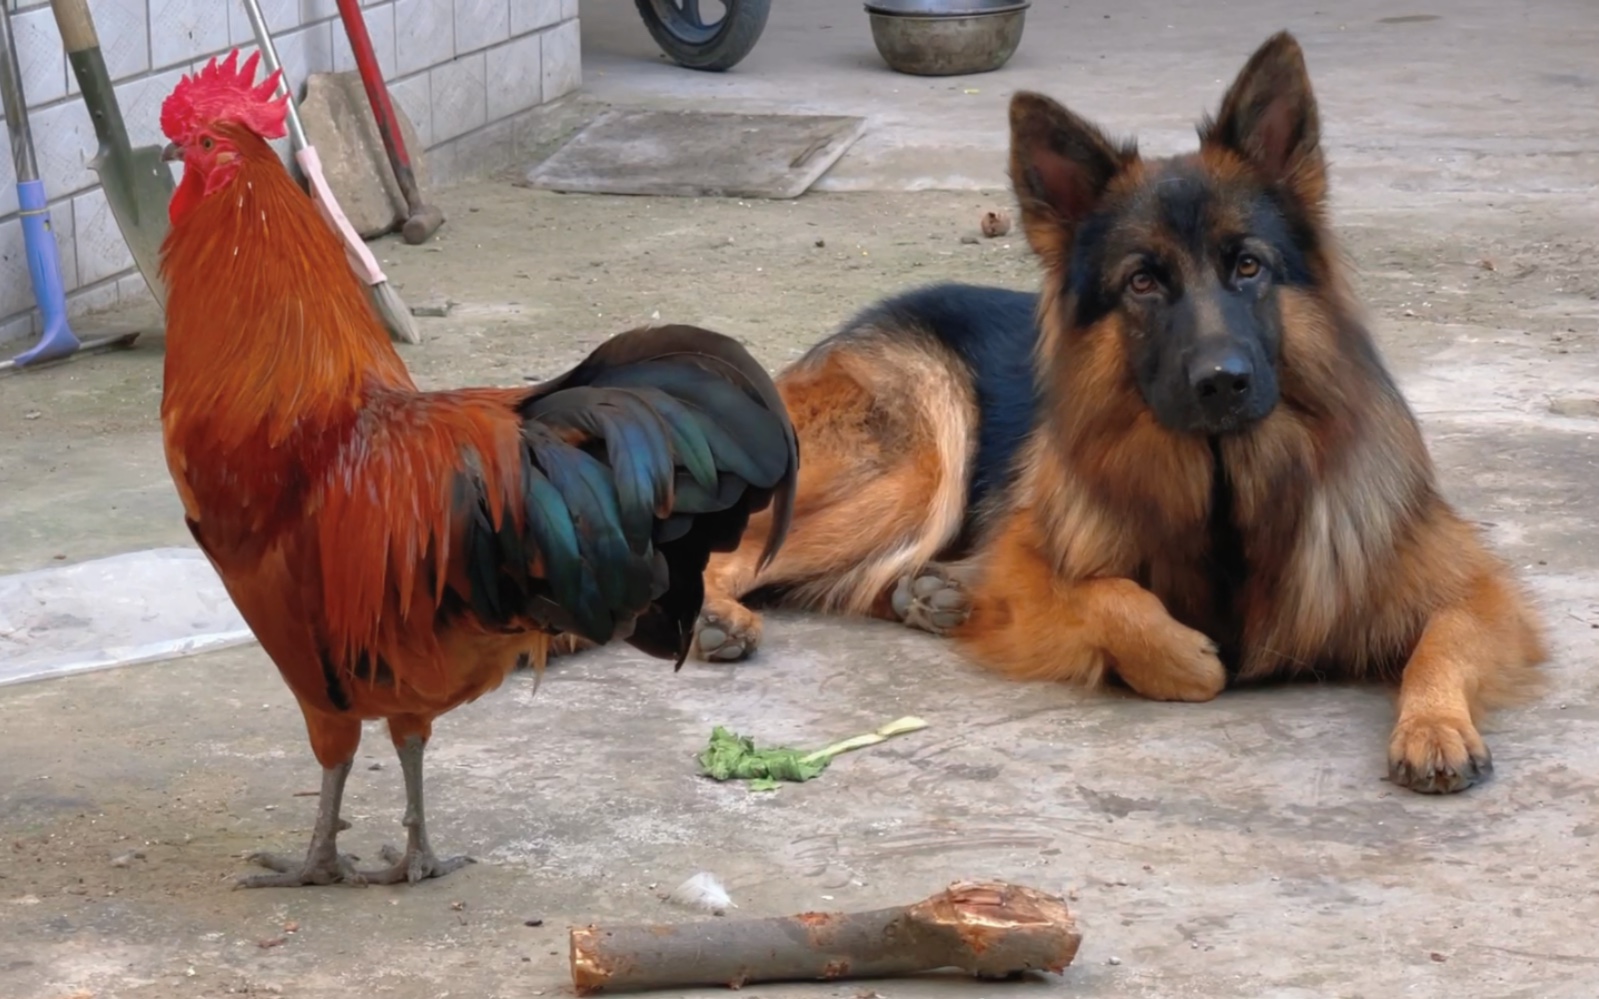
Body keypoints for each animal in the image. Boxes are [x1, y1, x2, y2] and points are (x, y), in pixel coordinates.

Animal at [697, 31, 1547, 789]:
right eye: (1142, 281)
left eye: (1248, 266)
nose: (1221, 382)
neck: (1225, 491)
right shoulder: (1029, 558)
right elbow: (1117, 604)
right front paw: (1186, 658)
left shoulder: (1471, 588)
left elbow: (1443, 638)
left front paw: (1433, 724)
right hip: (918, 462)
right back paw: (725, 616)